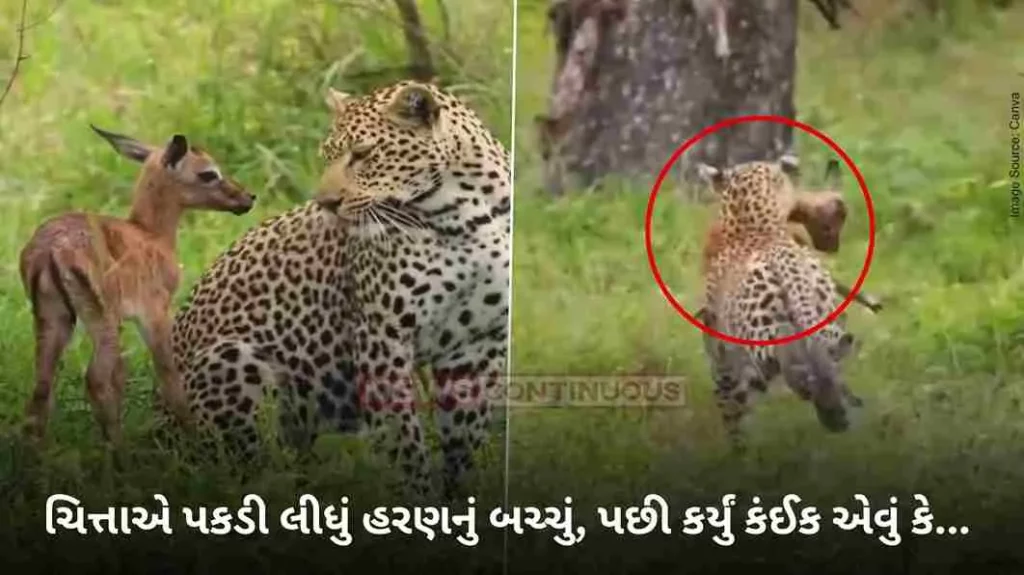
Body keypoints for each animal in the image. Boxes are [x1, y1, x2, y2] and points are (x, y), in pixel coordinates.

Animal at [18, 124, 255, 446]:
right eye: (208, 173)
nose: (248, 197)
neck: (151, 235)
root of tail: (48, 252)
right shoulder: (154, 314)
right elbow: (168, 375)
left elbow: (122, 377)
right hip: (101, 319)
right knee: (95, 379)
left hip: (54, 317)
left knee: (42, 388)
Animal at [169, 80, 511, 501]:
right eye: (327, 156)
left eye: (363, 154)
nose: (327, 203)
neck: (463, 215)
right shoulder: (381, 337)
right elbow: (403, 439)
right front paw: (414, 499)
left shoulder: (478, 340)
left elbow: (465, 437)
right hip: (230, 360)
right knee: (243, 470)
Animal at [695, 156, 862, 450]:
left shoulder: (723, 360)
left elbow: (731, 406)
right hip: (826, 319)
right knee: (835, 350)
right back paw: (837, 406)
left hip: (759, 334)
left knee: (788, 362)